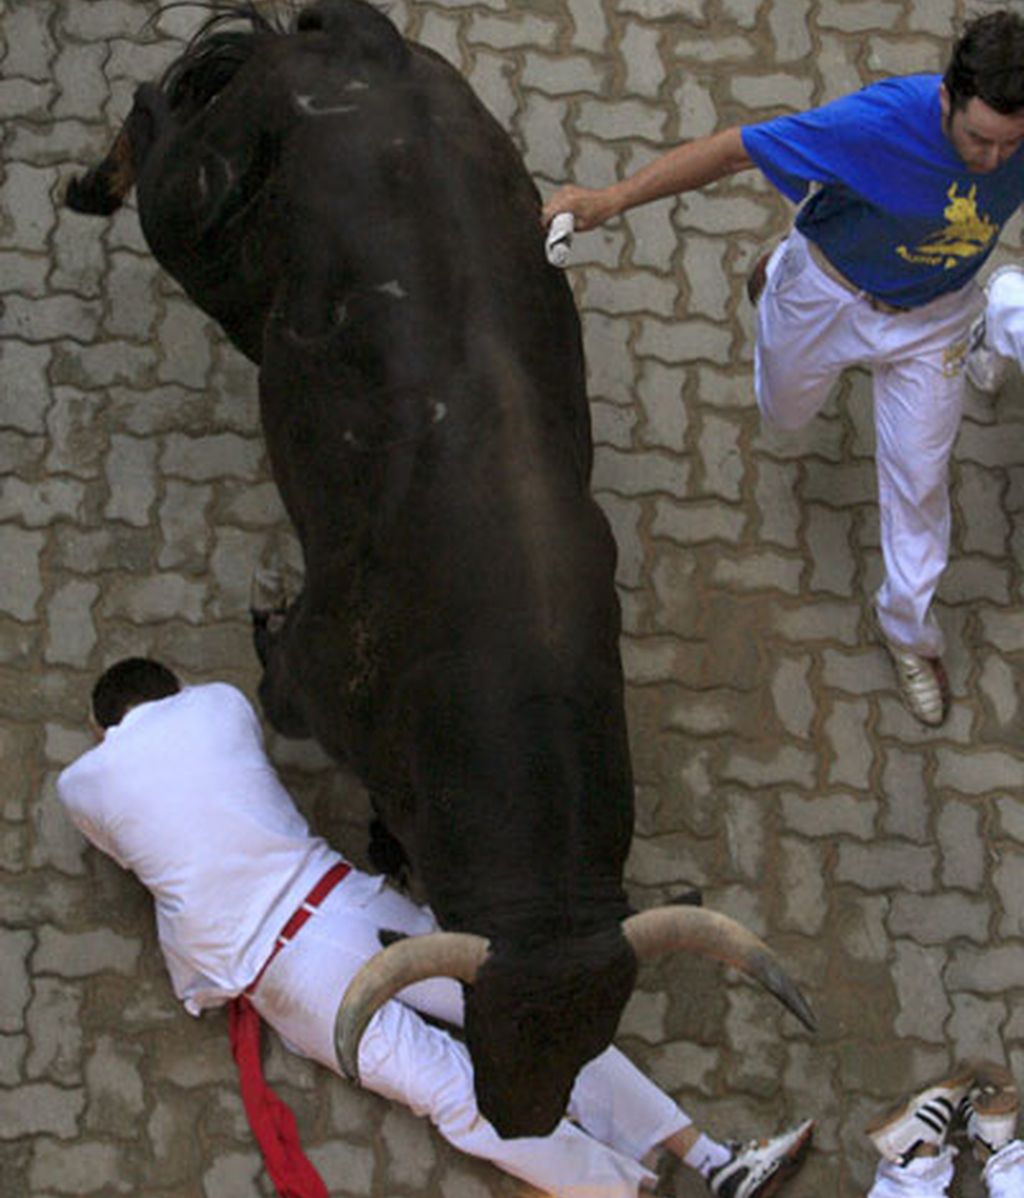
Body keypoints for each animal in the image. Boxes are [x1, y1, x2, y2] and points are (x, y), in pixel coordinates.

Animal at [67, 0, 814, 1140]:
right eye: (483, 1023)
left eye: (596, 1035)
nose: (521, 1124)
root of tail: (359, 39)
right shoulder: (300, 691)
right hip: (186, 213)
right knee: (154, 112)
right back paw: (87, 183)